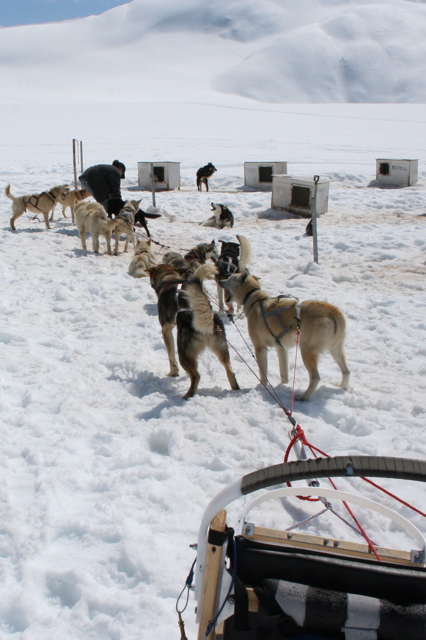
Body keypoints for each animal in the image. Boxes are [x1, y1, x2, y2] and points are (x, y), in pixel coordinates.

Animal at [220, 270, 350, 400]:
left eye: (230, 278)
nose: (220, 280)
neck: (254, 298)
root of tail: (334, 312)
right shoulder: (281, 348)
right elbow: (284, 374)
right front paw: (283, 385)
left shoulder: (260, 348)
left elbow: (263, 374)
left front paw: (262, 387)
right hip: (335, 350)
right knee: (346, 372)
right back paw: (342, 388)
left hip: (306, 351)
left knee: (315, 377)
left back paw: (303, 397)